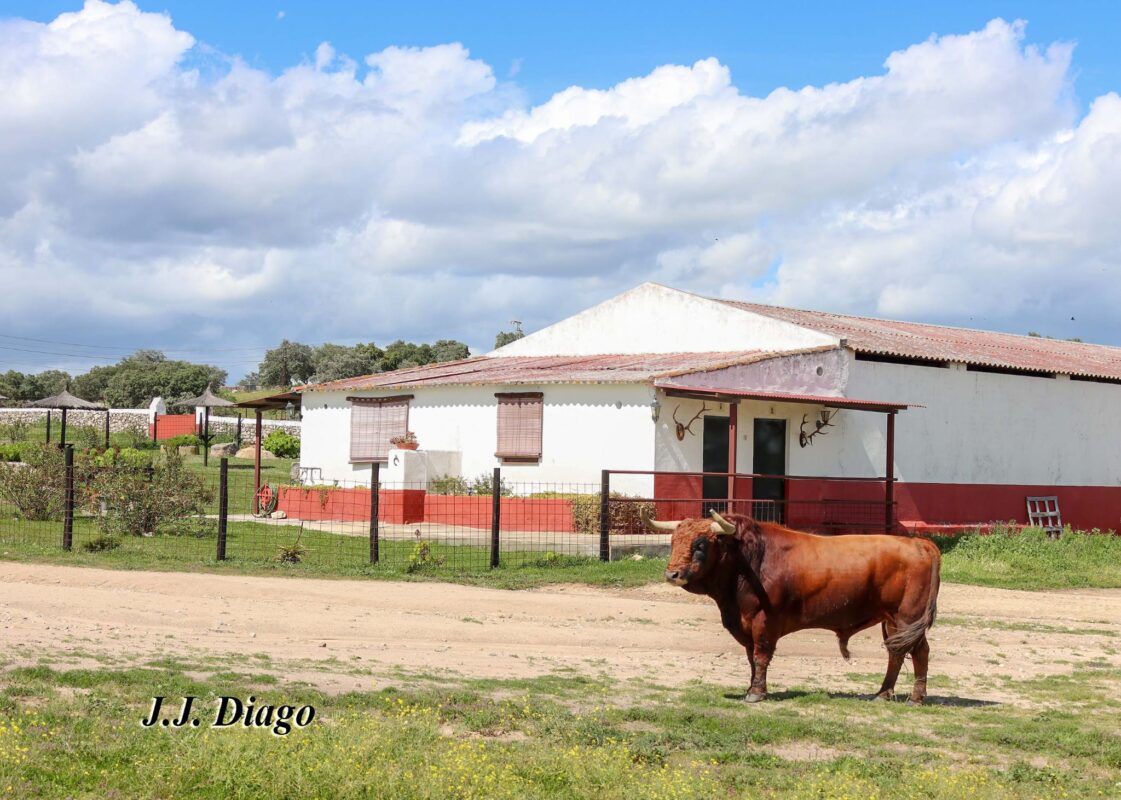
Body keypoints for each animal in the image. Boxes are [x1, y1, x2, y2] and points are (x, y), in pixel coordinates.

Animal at [645, 508, 941, 699]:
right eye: (674, 541)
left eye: (701, 545)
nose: (672, 574)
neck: (750, 560)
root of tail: (920, 544)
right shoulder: (745, 623)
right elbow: (751, 658)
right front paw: (752, 687)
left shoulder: (763, 621)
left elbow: (760, 656)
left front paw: (756, 693)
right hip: (892, 622)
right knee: (898, 653)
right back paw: (883, 693)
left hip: (907, 618)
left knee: (918, 652)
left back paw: (915, 697)